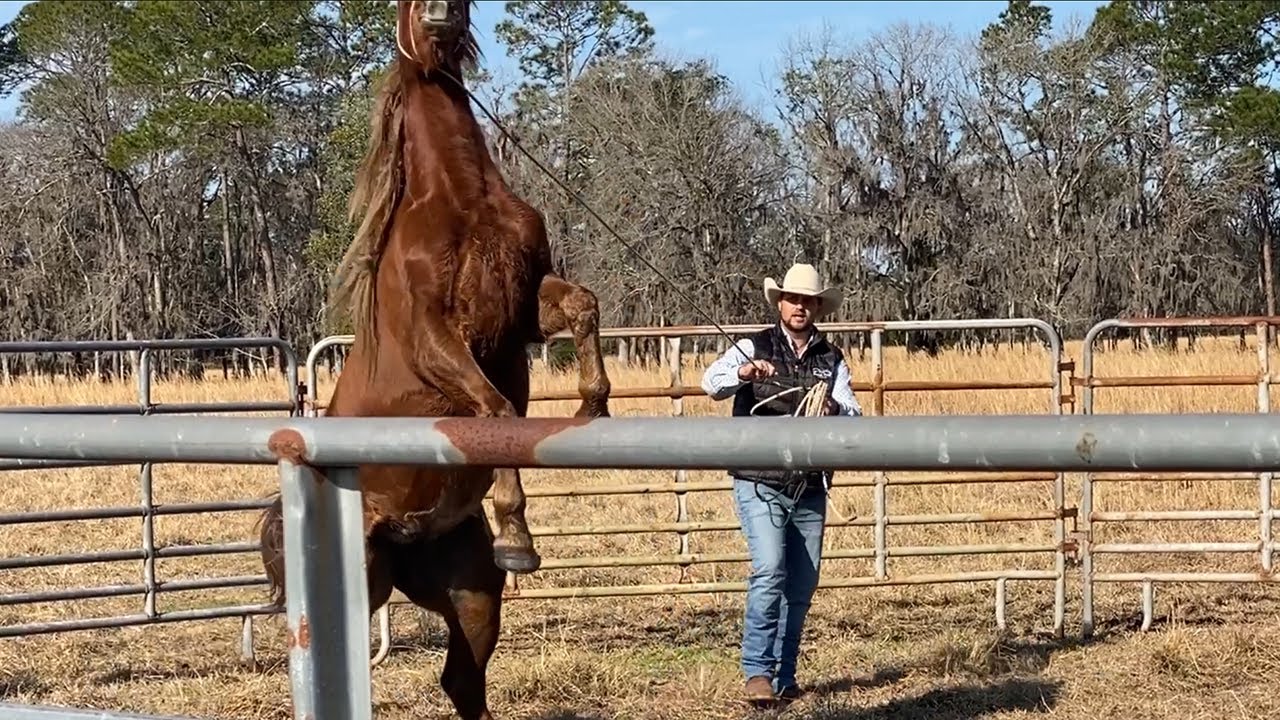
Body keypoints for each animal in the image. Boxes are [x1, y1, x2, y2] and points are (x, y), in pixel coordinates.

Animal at [256, 1, 612, 717]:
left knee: (461, 680)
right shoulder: (435, 338)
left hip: (469, 592)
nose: (441, 16)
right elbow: (496, 409)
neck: (461, 199)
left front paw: (594, 403)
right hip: (362, 582)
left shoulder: (522, 307)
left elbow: (583, 305)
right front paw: (518, 538)